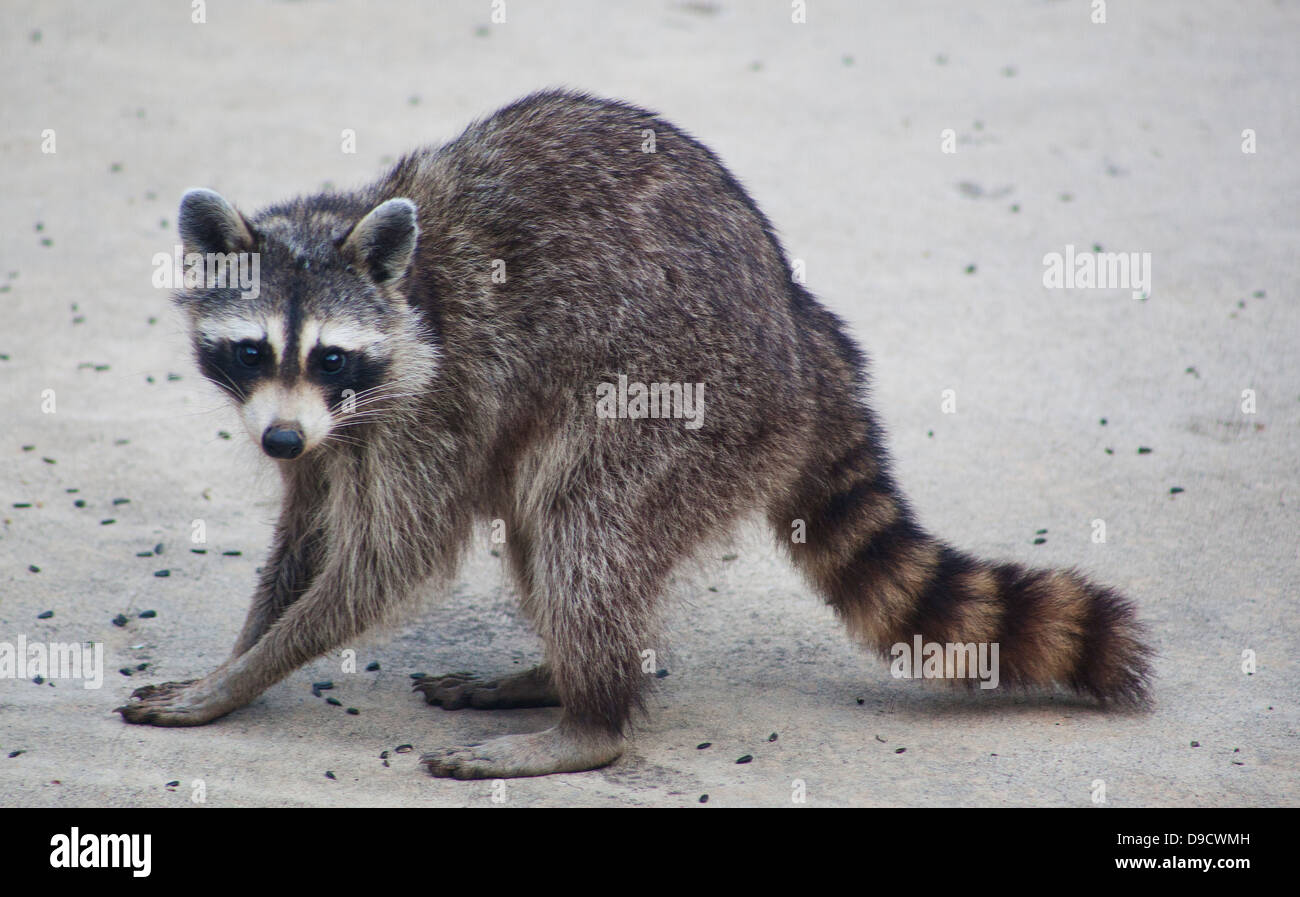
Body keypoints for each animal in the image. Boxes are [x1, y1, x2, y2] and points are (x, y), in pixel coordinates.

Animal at [117, 90, 1152, 778]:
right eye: (252, 349)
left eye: (330, 355)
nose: (280, 445)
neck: (408, 298)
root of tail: (806, 336)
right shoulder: (333, 434)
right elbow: (307, 536)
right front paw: (240, 652)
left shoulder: (444, 401)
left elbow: (388, 560)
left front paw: (250, 670)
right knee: (548, 528)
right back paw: (558, 675)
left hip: (688, 407)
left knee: (583, 525)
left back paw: (592, 720)